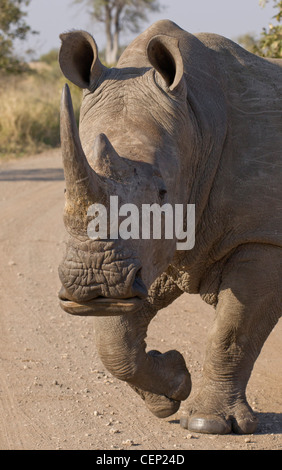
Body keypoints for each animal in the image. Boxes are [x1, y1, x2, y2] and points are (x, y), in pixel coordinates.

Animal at [57, 21, 282, 434]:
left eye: (163, 192)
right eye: (65, 190)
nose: (93, 282)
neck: (196, 121)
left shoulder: (264, 236)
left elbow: (233, 331)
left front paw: (209, 424)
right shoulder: (148, 254)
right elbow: (115, 339)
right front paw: (171, 388)